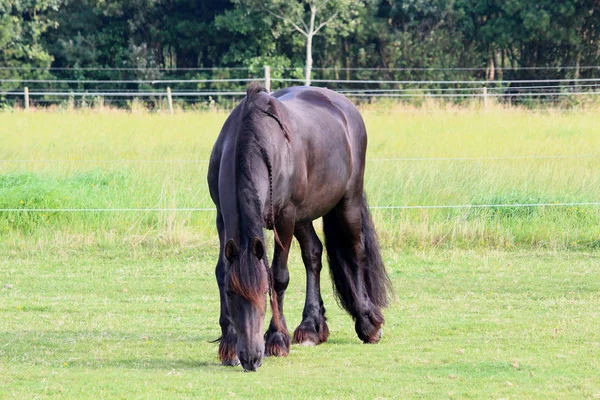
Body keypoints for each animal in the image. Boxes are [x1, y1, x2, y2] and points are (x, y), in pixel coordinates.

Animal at [209, 83, 392, 372]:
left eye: (264, 293)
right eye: (230, 293)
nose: (250, 358)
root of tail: (344, 105)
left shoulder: (285, 217)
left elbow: (279, 275)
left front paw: (276, 339)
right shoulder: (221, 218)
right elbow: (221, 272)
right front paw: (227, 344)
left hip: (346, 202)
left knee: (355, 252)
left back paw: (368, 324)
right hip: (304, 217)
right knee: (313, 254)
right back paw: (311, 328)